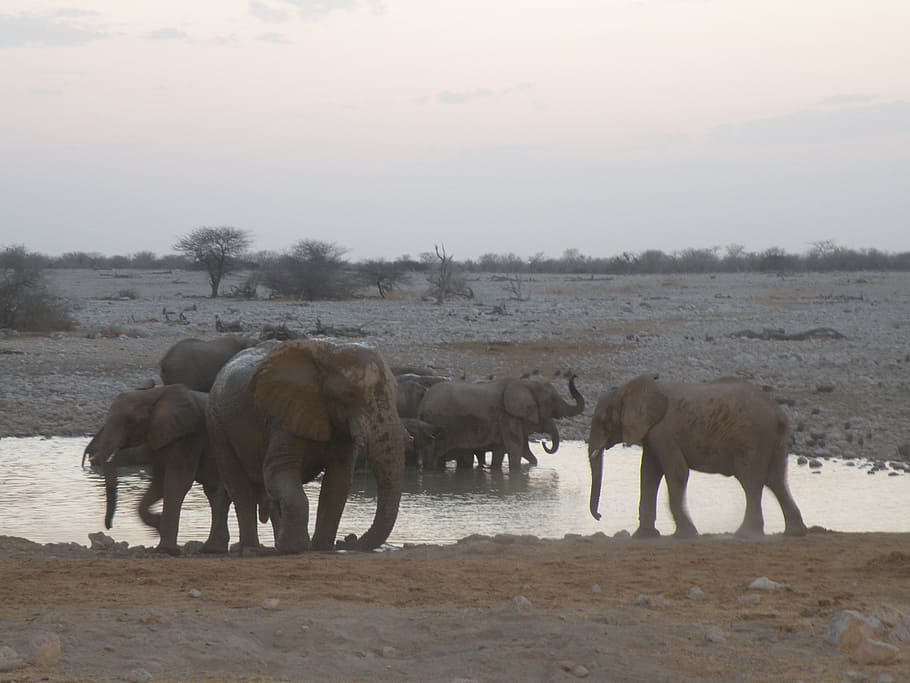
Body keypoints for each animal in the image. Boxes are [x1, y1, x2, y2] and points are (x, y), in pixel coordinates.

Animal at [87, 384, 229, 555]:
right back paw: (213, 549)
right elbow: (159, 483)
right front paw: (158, 524)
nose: (109, 527)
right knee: (215, 494)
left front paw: (166, 550)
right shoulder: (158, 436)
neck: (153, 394)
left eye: (131, 421)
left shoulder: (190, 436)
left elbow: (177, 482)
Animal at [206, 339, 409, 554]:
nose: (348, 540)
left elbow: (337, 482)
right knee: (239, 488)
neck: (328, 354)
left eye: (395, 392)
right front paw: (295, 548)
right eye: (349, 395)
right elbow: (277, 473)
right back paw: (251, 549)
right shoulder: (283, 416)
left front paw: (321, 548)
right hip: (217, 425)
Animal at [418, 374, 585, 470]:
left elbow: (502, 451)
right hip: (436, 423)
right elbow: (515, 449)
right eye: (553, 400)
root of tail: (423, 403)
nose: (545, 442)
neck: (524, 383)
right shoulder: (508, 417)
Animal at [587, 374, 808, 539]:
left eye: (602, 421)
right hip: (774, 441)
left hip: (753, 439)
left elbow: (676, 473)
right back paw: (795, 532)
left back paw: (745, 533)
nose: (599, 515)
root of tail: (777, 412)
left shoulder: (663, 432)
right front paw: (644, 536)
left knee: (752, 482)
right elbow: (649, 474)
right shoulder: (652, 434)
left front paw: (685, 534)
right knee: (776, 480)